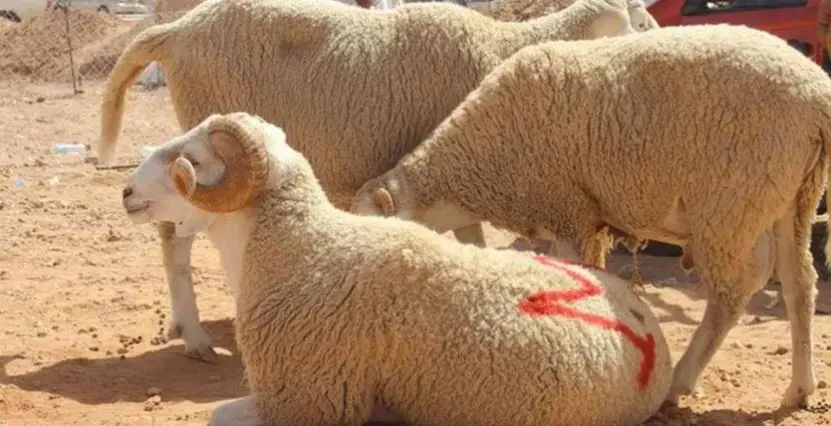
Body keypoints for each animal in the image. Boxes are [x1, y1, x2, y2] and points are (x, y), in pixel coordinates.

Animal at [100, 0, 651, 362]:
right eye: (638, 24)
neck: (503, 48)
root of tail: (178, 27)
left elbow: (469, 238)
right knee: (174, 239)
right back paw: (195, 337)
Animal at [122, 111, 673, 426]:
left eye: (191, 159)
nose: (126, 191)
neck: (299, 246)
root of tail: (644, 321)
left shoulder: (305, 400)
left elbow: (217, 414)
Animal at [350, 23, 830, 409]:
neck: (479, 161)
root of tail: (815, 94)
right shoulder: (587, 218)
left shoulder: (569, 211)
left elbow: (575, 271)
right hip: (793, 199)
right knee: (799, 283)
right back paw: (800, 389)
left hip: (732, 200)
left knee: (732, 294)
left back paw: (681, 381)